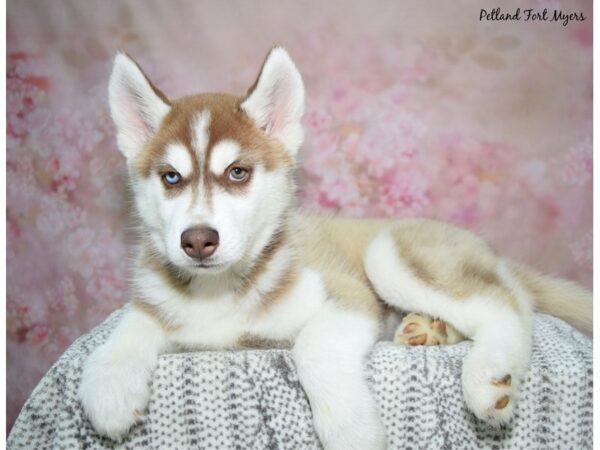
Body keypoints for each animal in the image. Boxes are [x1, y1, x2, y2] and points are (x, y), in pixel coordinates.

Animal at [78, 47, 592, 448]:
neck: (220, 291)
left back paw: (489, 375)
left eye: (238, 173)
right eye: (171, 177)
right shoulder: (161, 302)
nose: (198, 240)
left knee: (509, 305)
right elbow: (130, 324)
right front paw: (109, 385)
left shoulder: (346, 294)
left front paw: (351, 430)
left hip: (390, 254)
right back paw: (428, 330)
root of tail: (487, 251)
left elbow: (313, 348)